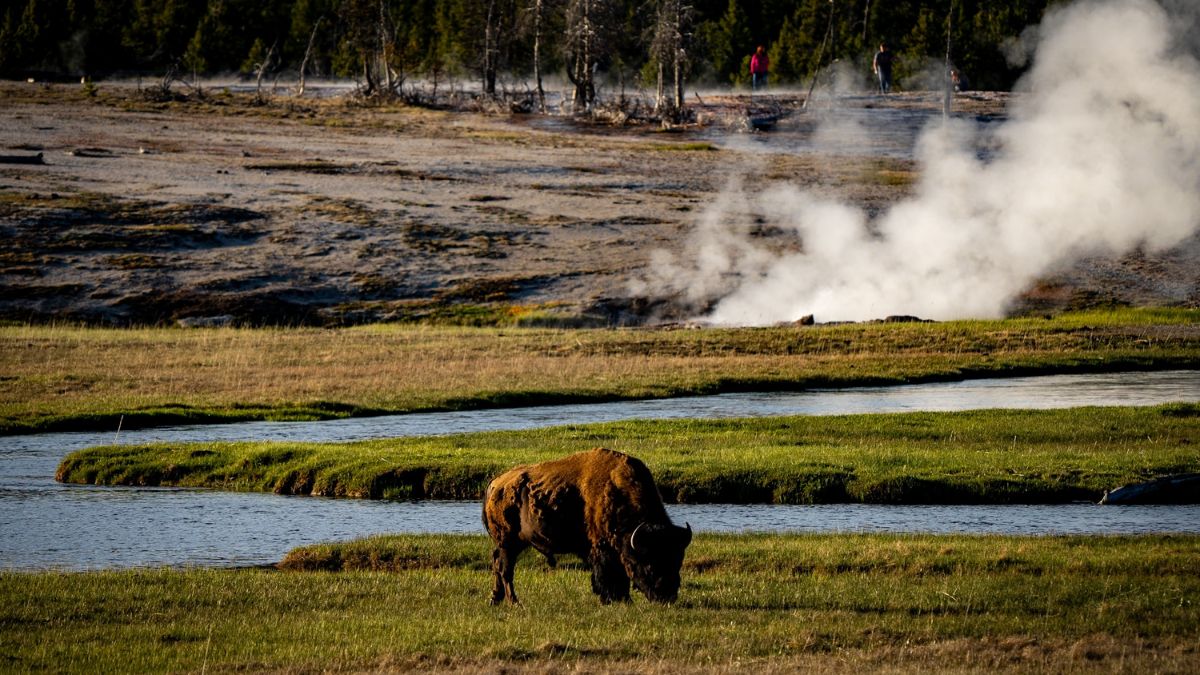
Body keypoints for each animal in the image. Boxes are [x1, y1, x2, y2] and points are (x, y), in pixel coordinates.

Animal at [483, 448, 692, 605]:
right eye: (649, 564)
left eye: (677, 561)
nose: (667, 596)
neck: (618, 493)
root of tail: (495, 485)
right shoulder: (601, 549)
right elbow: (609, 576)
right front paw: (617, 599)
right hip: (508, 542)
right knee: (505, 569)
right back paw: (515, 602)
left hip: (511, 544)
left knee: (497, 564)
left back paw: (496, 599)